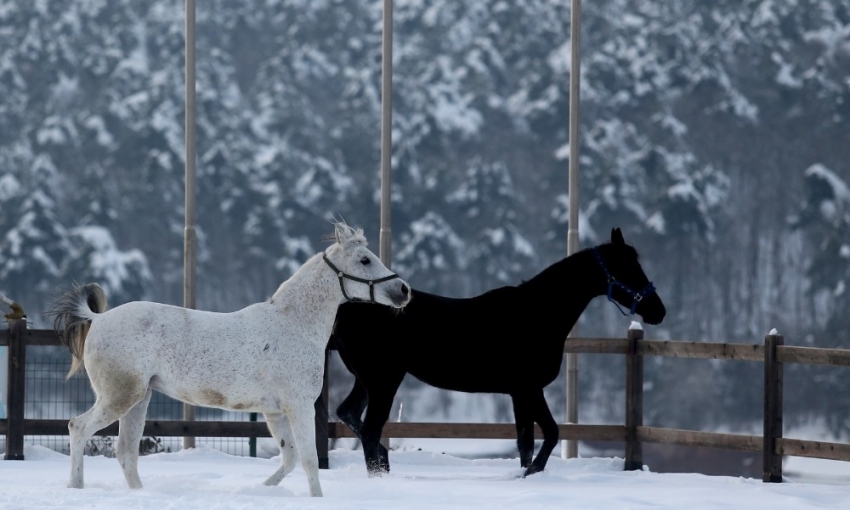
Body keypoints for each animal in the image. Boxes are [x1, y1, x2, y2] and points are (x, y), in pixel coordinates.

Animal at [46, 221, 410, 496]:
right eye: (365, 260)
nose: (404, 291)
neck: (293, 323)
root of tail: (97, 319)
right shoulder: (299, 406)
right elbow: (308, 460)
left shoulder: (274, 412)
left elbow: (290, 458)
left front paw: (262, 490)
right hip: (120, 396)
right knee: (79, 428)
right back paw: (76, 487)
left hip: (139, 399)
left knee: (125, 452)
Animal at [328, 227, 664, 478]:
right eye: (628, 267)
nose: (658, 311)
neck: (537, 314)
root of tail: (346, 307)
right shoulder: (530, 389)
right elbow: (551, 433)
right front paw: (532, 473)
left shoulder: (519, 393)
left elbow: (526, 441)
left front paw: (525, 473)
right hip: (384, 382)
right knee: (370, 431)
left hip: (367, 380)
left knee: (348, 414)